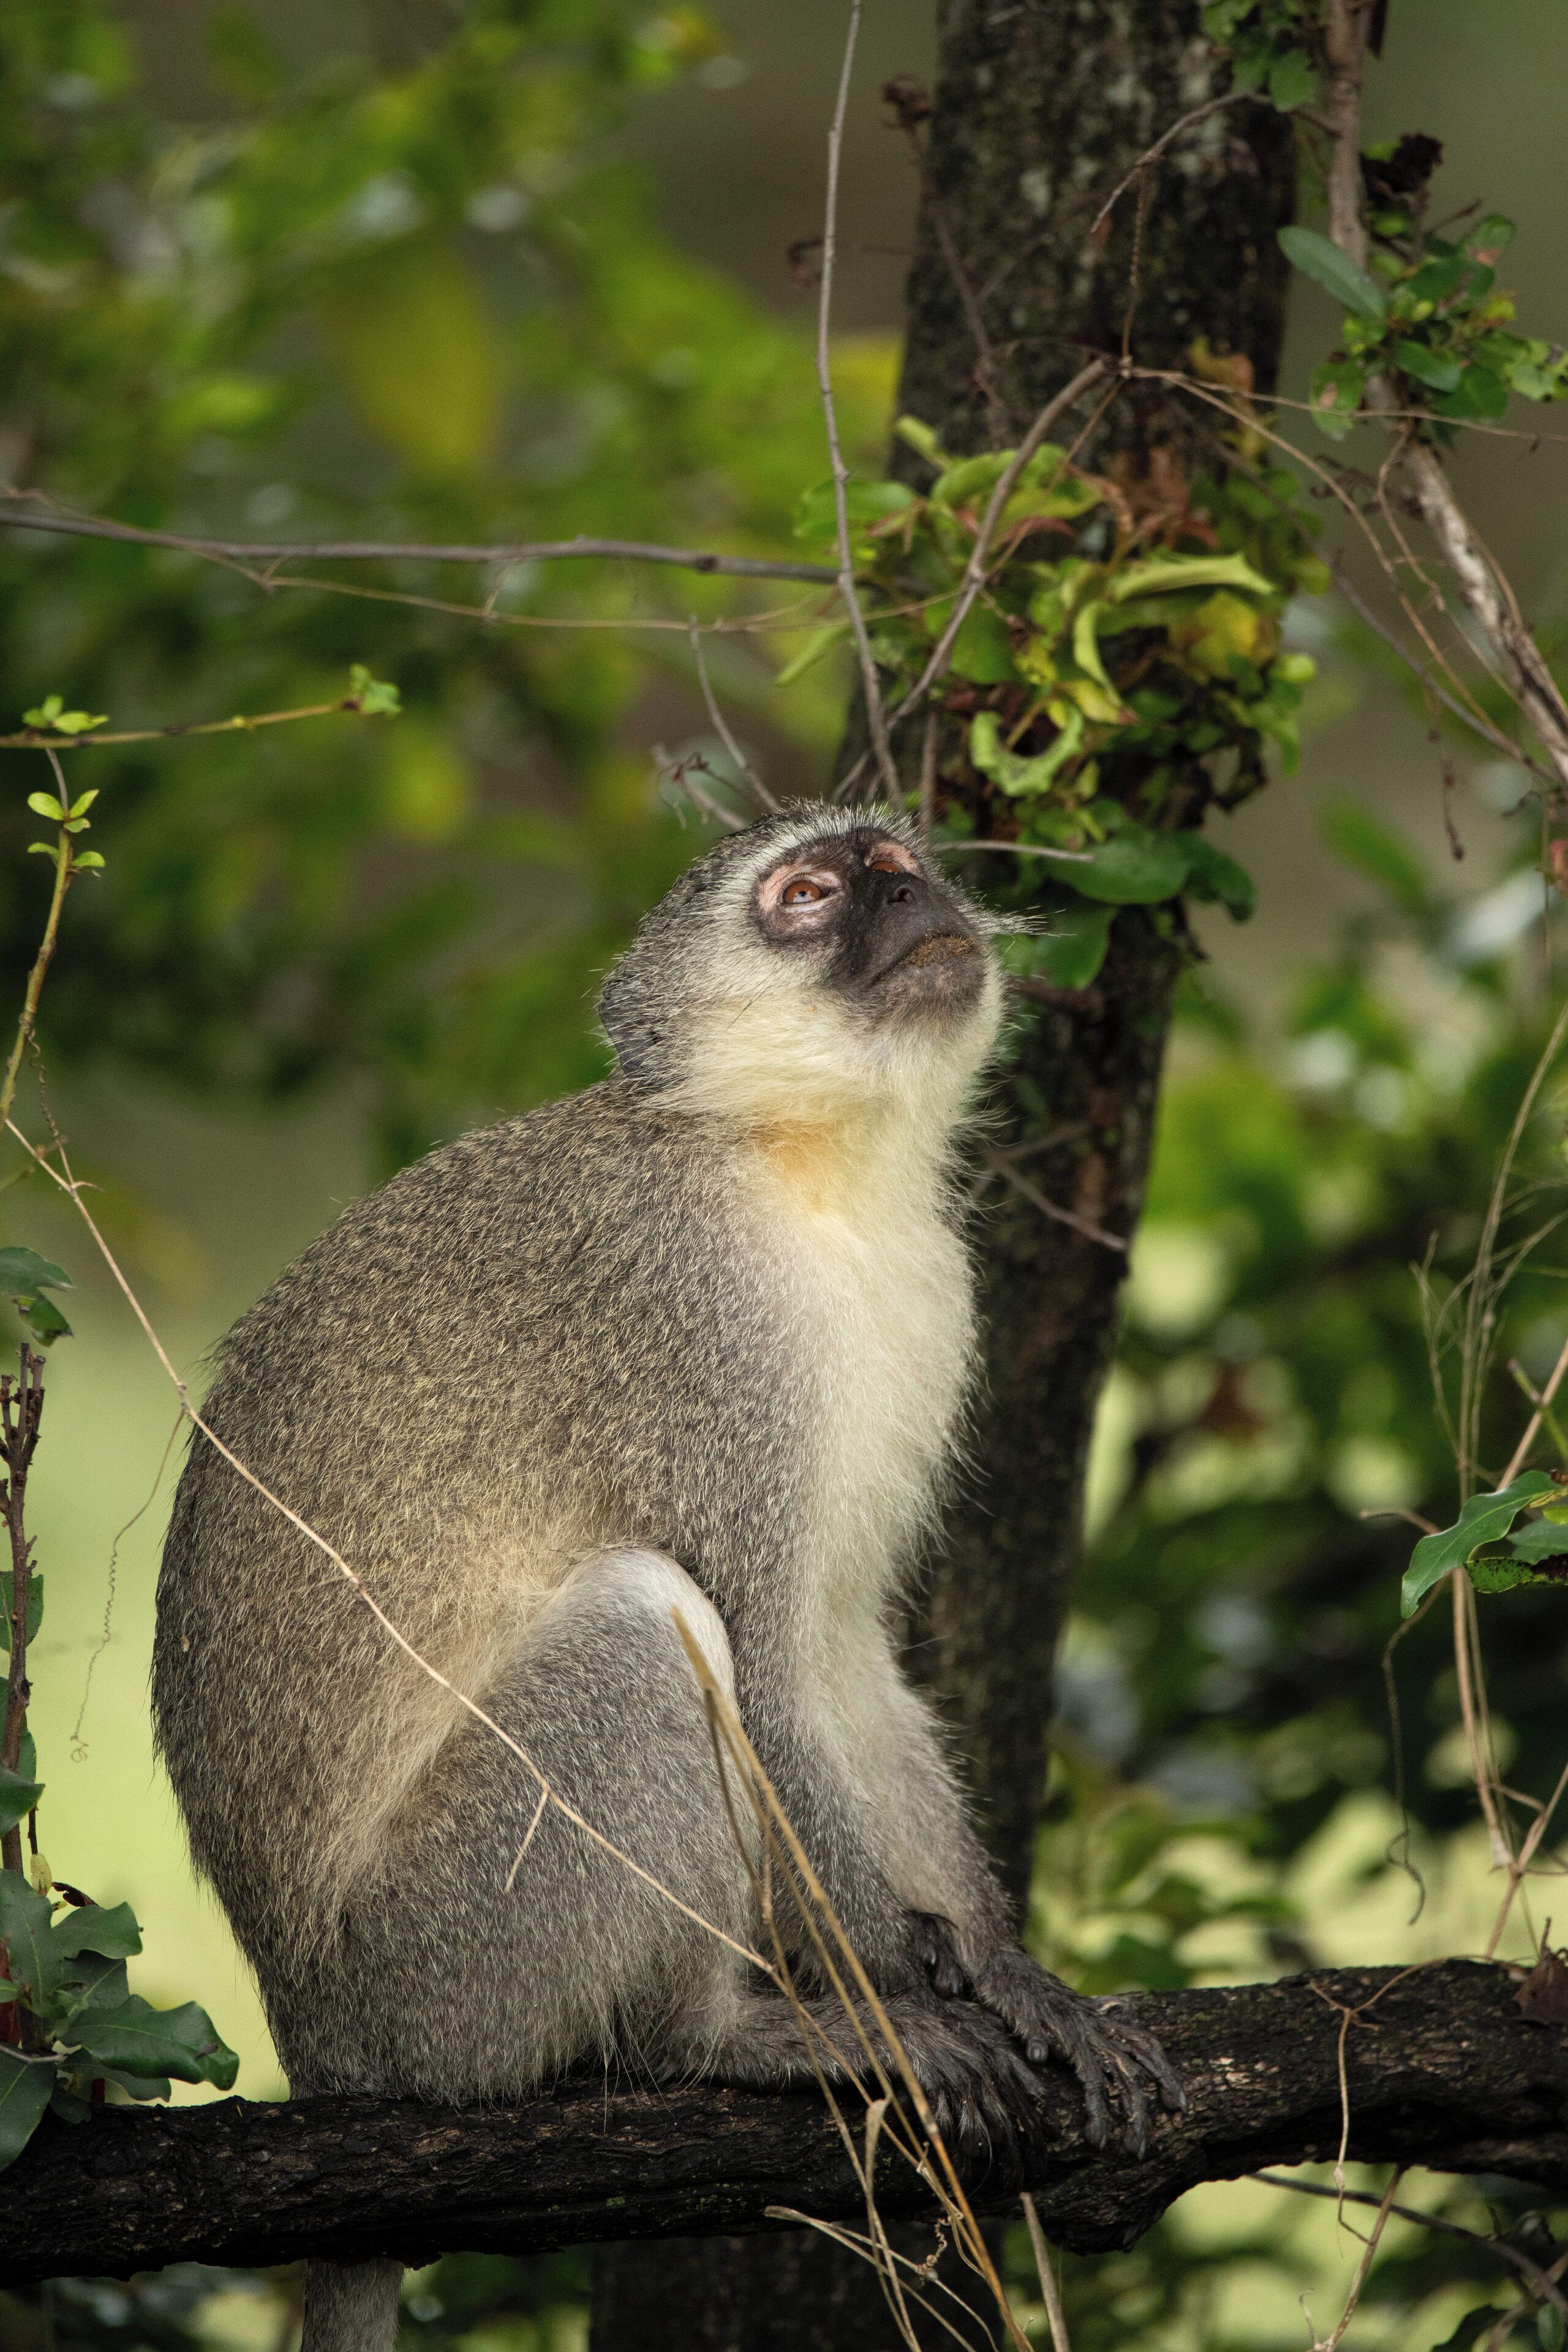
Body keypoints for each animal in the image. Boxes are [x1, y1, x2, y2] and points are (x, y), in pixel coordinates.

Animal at [152, 802, 1182, 2352]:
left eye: (898, 866)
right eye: (807, 895)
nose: (906, 899)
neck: (793, 1157)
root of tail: (321, 2041)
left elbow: (833, 1648)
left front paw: (1005, 1968)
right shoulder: (698, 1318)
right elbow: (758, 1653)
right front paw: (899, 1982)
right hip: (448, 1965)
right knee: (648, 1624)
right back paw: (716, 2039)